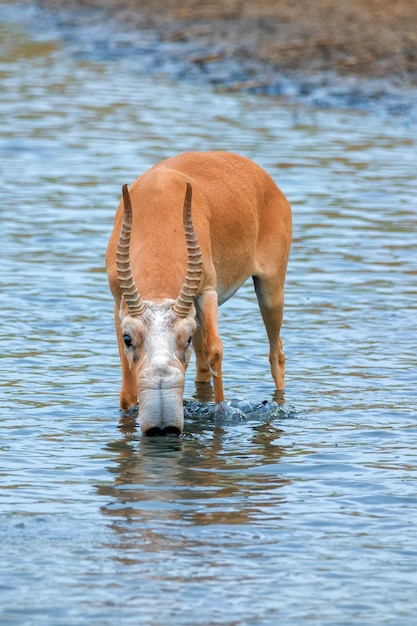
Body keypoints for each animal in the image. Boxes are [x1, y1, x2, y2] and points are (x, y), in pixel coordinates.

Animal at [105, 152, 290, 434]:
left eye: (186, 339)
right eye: (128, 338)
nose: (162, 425)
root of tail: (264, 177)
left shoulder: (207, 292)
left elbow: (216, 350)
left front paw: (222, 412)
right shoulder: (118, 303)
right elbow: (126, 388)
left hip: (271, 288)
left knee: (275, 353)